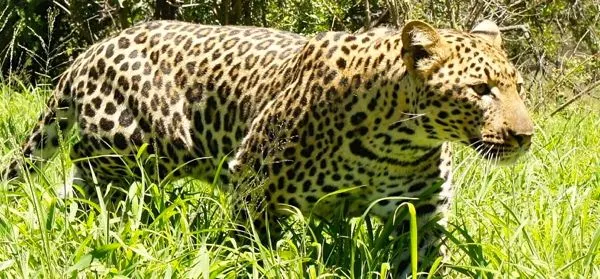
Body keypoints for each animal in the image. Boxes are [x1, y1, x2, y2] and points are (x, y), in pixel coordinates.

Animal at [3, 19, 528, 276]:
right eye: (480, 90)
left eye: (517, 87)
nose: (526, 137)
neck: (397, 140)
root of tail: (89, 52)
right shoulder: (255, 185)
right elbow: (249, 248)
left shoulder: (421, 211)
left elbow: (421, 262)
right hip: (128, 154)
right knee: (91, 185)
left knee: (77, 193)